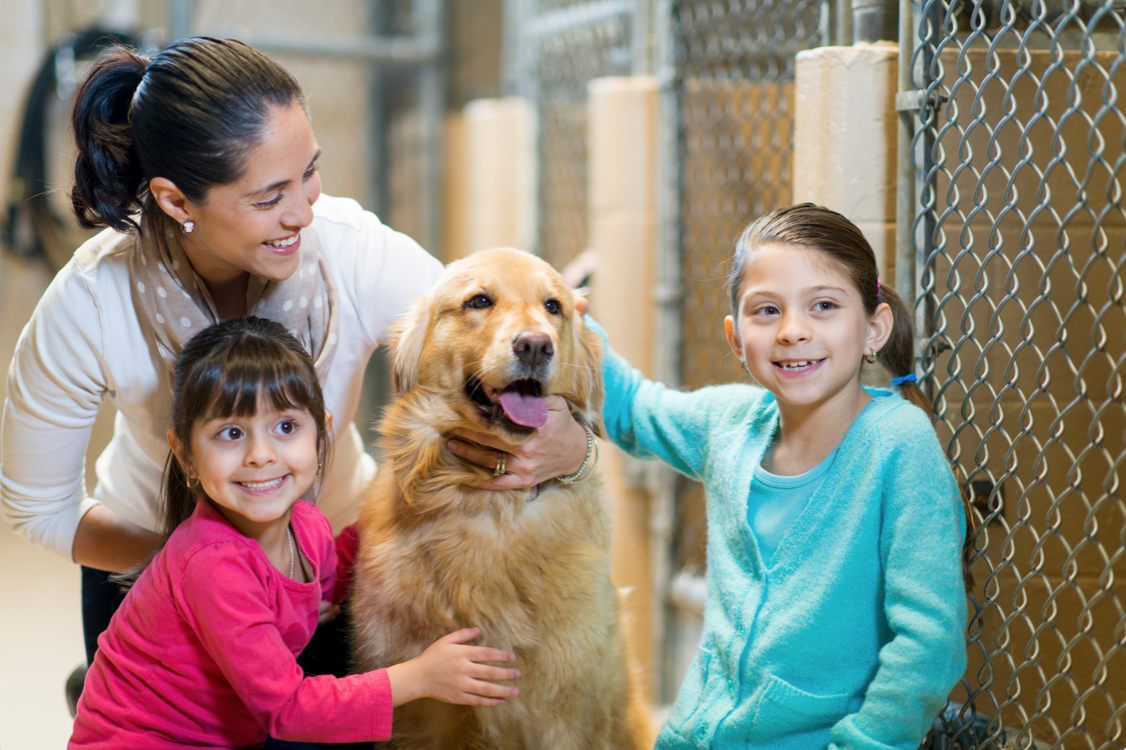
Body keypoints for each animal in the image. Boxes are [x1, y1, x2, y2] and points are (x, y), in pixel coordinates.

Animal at [351, 247, 653, 743]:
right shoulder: (418, 715)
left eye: (553, 306)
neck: (490, 503)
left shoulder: (564, 716)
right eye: (479, 301)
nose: (535, 345)